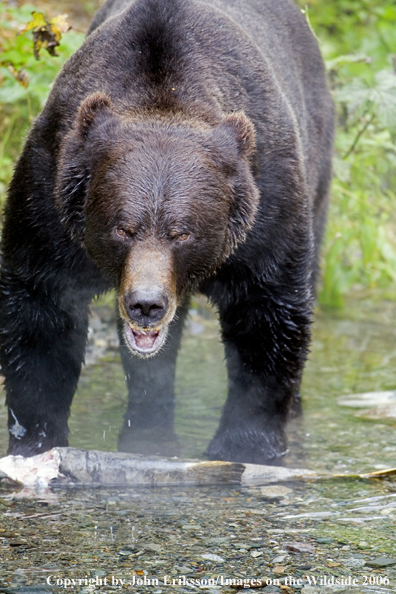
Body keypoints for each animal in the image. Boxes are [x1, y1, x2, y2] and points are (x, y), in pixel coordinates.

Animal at [0, 0, 334, 462]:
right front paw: (35, 438)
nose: (146, 304)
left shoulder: (267, 204)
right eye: (123, 228)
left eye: (183, 233)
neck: (166, 95)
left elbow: (267, 311)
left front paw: (244, 446)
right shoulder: (50, 196)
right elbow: (40, 311)